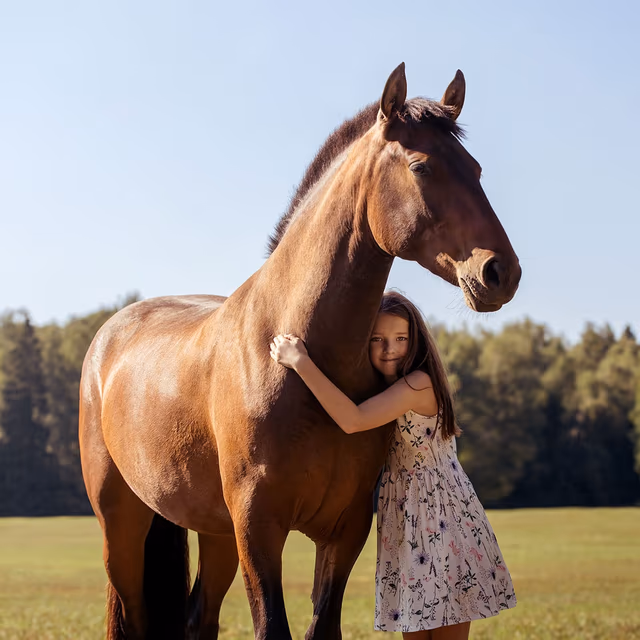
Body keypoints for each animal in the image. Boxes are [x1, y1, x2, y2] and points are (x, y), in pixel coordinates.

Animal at [79, 63, 521, 640]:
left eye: (476, 168)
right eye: (422, 166)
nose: (501, 272)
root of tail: (109, 336)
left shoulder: (344, 529)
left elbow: (321, 625)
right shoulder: (258, 528)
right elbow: (273, 627)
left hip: (214, 532)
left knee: (200, 617)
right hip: (124, 525)